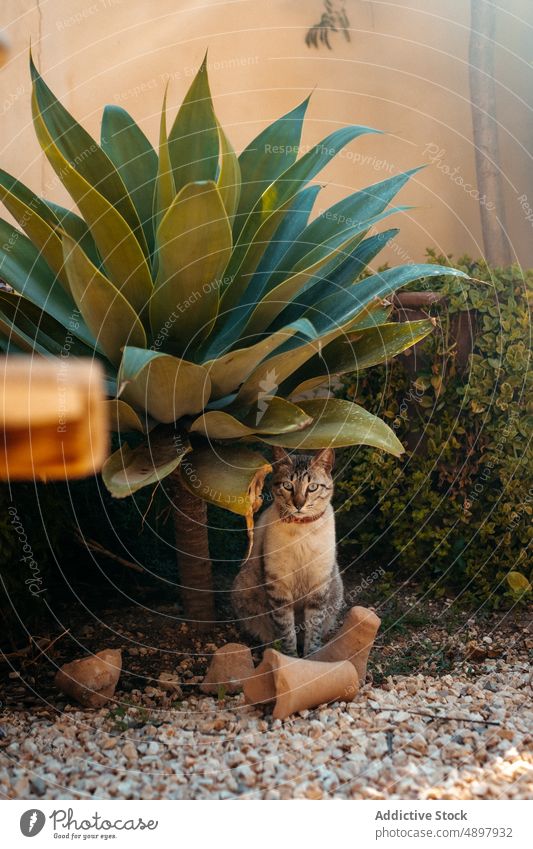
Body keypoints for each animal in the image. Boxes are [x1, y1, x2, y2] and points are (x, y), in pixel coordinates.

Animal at [232, 444, 340, 656]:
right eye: (288, 486)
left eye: (312, 487)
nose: (299, 504)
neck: (301, 529)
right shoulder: (278, 586)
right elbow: (287, 631)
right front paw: (291, 657)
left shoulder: (319, 585)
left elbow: (313, 630)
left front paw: (311, 656)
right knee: (268, 635)